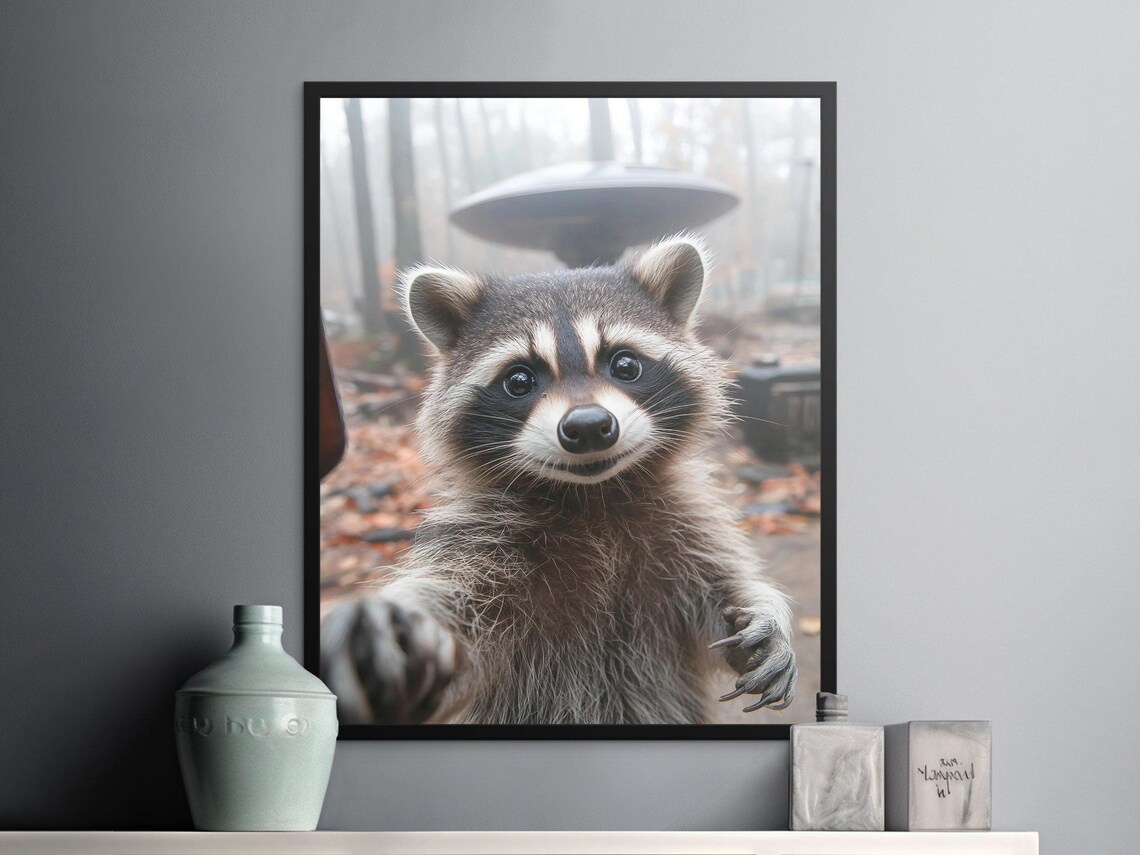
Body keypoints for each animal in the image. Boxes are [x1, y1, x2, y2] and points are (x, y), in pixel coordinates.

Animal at [320, 234, 798, 725]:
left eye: (625, 365)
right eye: (519, 380)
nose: (588, 426)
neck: (594, 496)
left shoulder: (684, 525)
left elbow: (719, 588)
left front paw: (765, 612)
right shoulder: (487, 544)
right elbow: (459, 619)